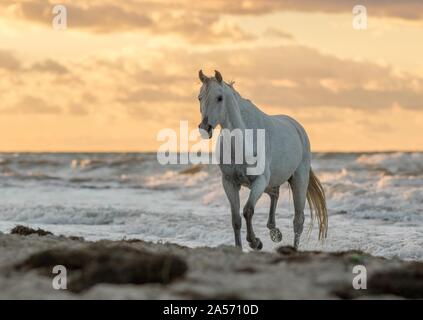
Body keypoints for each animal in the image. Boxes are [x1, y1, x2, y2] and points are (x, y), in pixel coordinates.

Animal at [197, 69, 330, 250]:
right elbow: (236, 219)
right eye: (200, 98)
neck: (243, 140)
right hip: (271, 181)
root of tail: (297, 127)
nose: (205, 128)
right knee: (275, 194)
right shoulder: (229, 182)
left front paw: (255, 242)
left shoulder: (259, 181)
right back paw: (275, 232)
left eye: (219, 97)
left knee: (298, 220)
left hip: (298, 180)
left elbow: (248, 211)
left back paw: (293, 247)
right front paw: (240, 247)